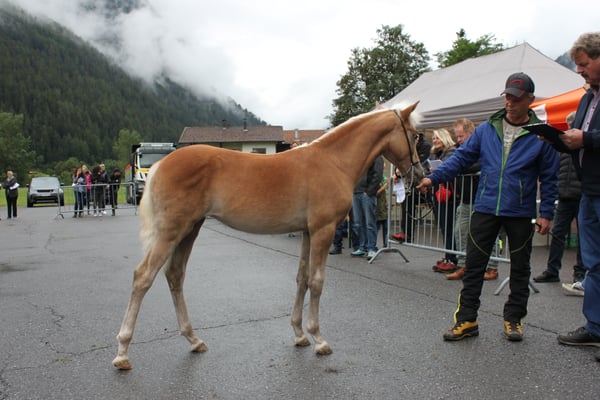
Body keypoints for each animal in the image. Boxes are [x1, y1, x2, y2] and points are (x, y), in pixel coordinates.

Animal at [112, 102, 423, 370]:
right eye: (414, 134)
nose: (418, 174)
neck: (333, 161)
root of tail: (159, 166)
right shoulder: (323, 229)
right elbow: (317, 281)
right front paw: (318, 338)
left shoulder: (308, 231)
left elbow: (302, 278)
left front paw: (299, 334)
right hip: (172, 230)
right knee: (143, 277)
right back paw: (123, 352)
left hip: (190, 229)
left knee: (175, 276)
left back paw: (194, 339)